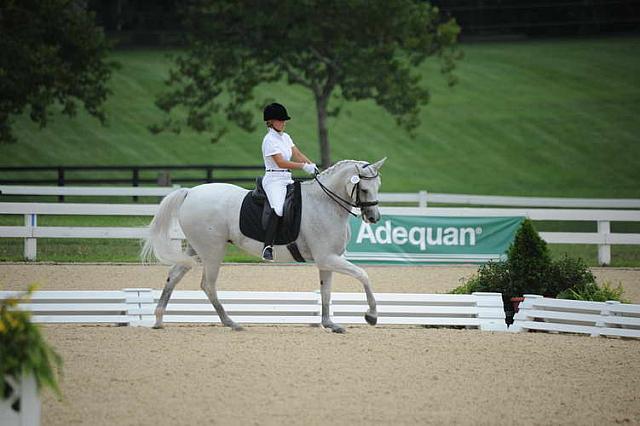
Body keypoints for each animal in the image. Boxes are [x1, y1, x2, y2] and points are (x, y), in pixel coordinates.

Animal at [140, 158, 384, 332]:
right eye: (363, 189)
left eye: (378, 186)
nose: (374, 218)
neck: (325, 203)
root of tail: (190, 192)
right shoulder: (328, 258)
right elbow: (363, 275)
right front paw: (371, 315)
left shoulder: (326, 260)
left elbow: (326, 292)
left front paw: (329, 324)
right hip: (213, 251)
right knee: (208, 285)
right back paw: (230, 322)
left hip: (195, 249)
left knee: (174, 276)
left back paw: (159, 319)